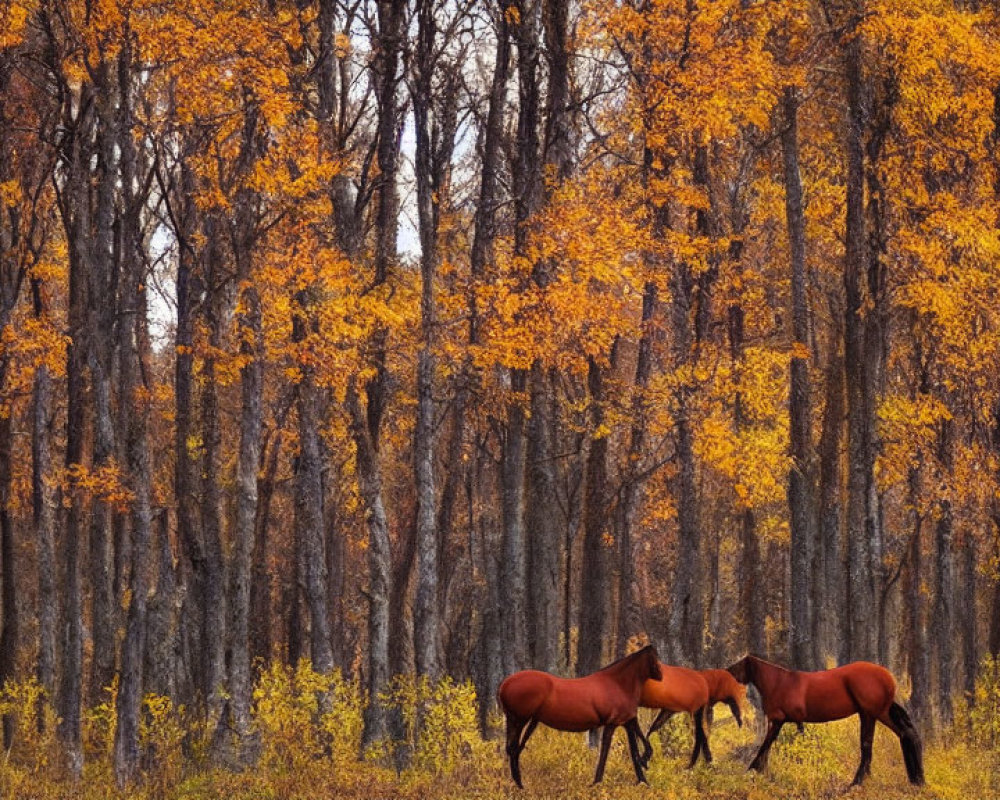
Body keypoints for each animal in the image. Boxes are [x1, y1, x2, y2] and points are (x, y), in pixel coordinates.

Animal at [500, 644, 664, 788]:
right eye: (655, 658)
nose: (661, 675)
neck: (619, 685)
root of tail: (505, 684)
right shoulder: (612, 723)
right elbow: (605, 752)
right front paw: (596, 782)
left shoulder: (628, 721)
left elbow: (635, 750)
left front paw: (644, 780)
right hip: (521, 719)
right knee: (514, 749)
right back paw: (520, 785)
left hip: (516, 720)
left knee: (513, 748)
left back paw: (517, 783)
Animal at [724, 656, 924, 788]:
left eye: (739, 665)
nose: (726, 672)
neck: (779, 683)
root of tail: (889, 677)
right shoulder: (788, 721)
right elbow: (776, 744)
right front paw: (762, 770)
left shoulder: (779, 720)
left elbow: (766, 744)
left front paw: (754, 770)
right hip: (876, 714)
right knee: (903, 735)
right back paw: (916, 779)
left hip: (872, 714)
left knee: (872, 743)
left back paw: (857, 782)